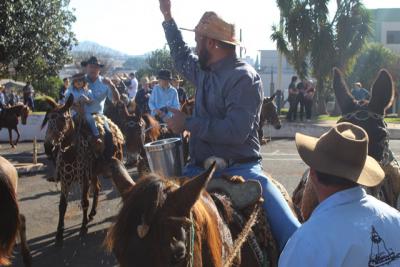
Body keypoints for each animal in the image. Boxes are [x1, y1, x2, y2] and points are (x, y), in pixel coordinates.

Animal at [41, 95, 124, 246]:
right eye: (48, 119)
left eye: (63, 119)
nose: (48, 147)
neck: (71, 153)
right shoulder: (65, 180)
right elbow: (62, 205)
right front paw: (59, 232)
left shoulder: (84, 179)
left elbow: (84, 201)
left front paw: (83, 226)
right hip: (94, 172)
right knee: (97, 188)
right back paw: (92, 212)